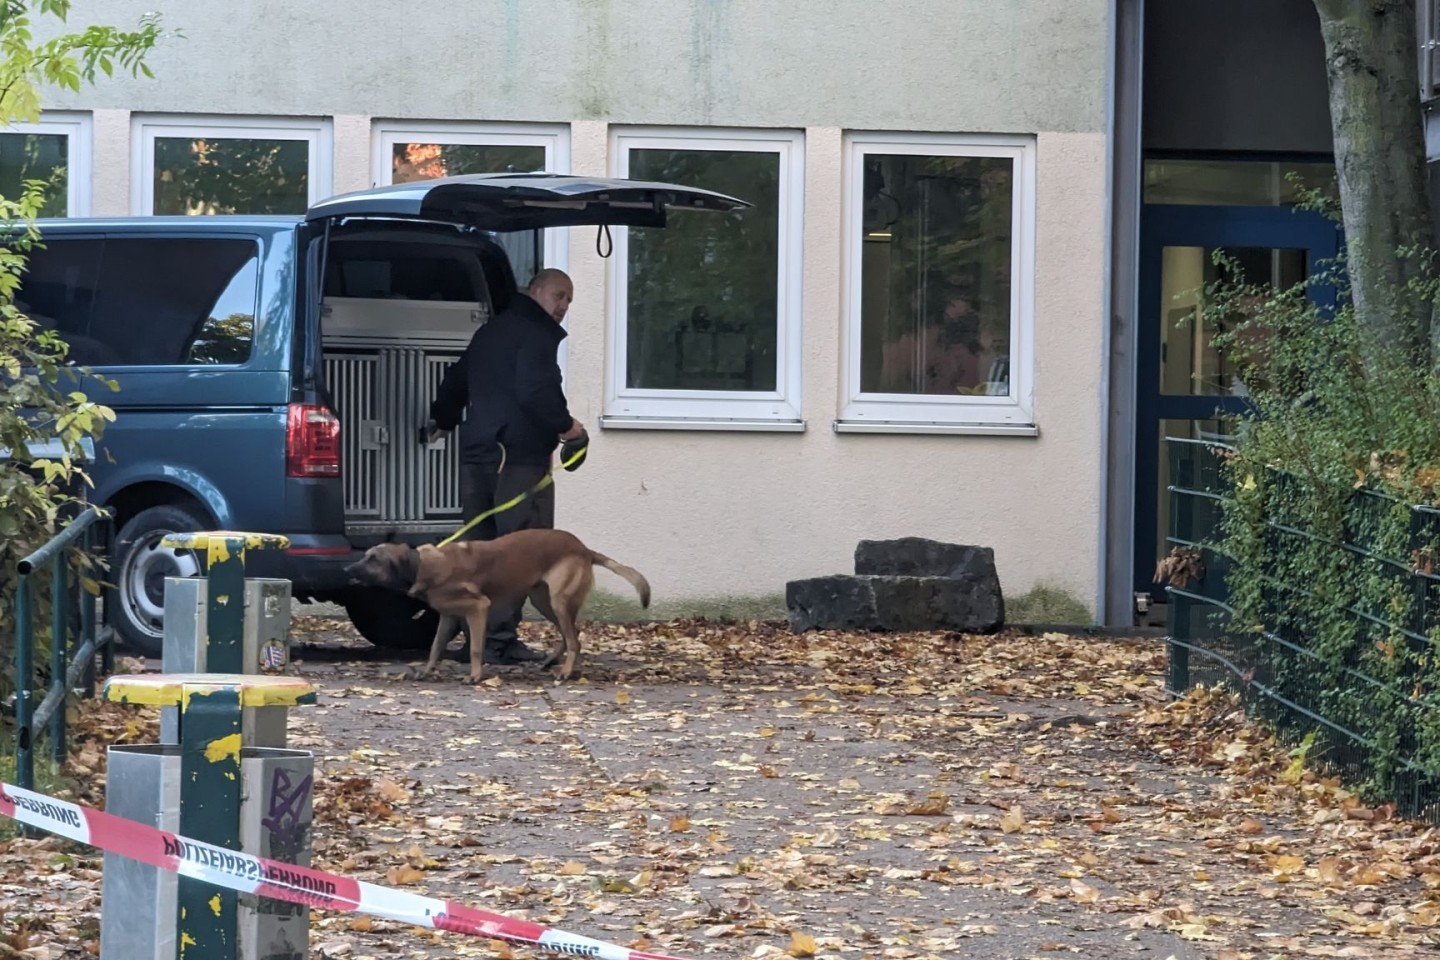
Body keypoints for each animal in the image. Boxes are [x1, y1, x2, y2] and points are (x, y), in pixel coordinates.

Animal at [342, 526, 648, 682]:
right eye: (366, 556)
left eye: (373, 559)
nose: (347, 570)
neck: (422, 566)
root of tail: (583, 548)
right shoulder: (449, 617)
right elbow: (435, 647)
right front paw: (426, 671)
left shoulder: (479, 609)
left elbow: (476, 648)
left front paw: (475, 675)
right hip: (544, 601)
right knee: (572, 635)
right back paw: (552, 662)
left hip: (558, 601)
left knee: (573, 639)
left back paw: (565, 672)